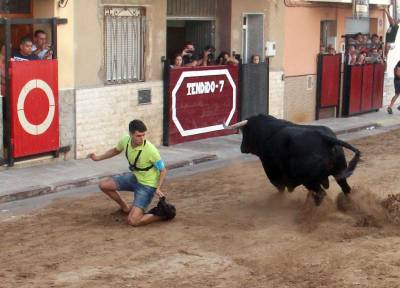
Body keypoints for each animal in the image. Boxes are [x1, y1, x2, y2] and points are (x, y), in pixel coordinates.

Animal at [225, 115, 362, 205]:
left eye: (246, 132)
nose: (242, 148)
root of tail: (326, 138)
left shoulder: (271, 169)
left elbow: (279, 187)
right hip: (339, 172)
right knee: (345, 188)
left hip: (309, 180)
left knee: (321, 193)